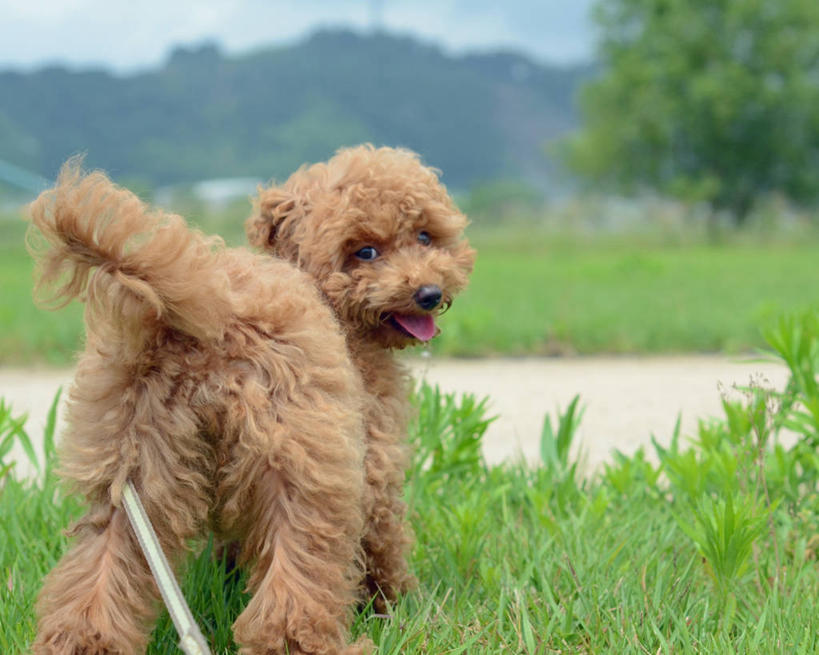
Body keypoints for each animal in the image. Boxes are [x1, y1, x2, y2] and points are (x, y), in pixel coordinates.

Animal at [27, 145, 474, 655]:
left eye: (425, 235)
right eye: (365, 252)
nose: (429, 293)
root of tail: (203, 317)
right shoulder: (369, 456)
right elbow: (383, 534)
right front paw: (397, 603)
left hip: (132, 459)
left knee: (104, 558)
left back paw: (85, 642)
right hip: (295, 455)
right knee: (296, 575)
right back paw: (302, 641)